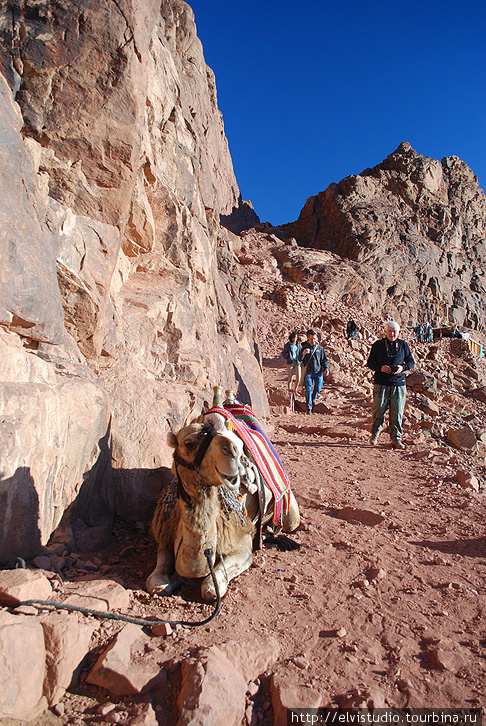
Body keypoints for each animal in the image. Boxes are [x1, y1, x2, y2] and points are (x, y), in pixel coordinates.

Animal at [146, 410, 300, 604]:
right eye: (189, 443)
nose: (232, 450)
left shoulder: (242, 543)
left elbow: (211, 587)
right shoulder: (164, 537)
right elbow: (156, 583)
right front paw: (171, 579)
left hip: (290, 514)